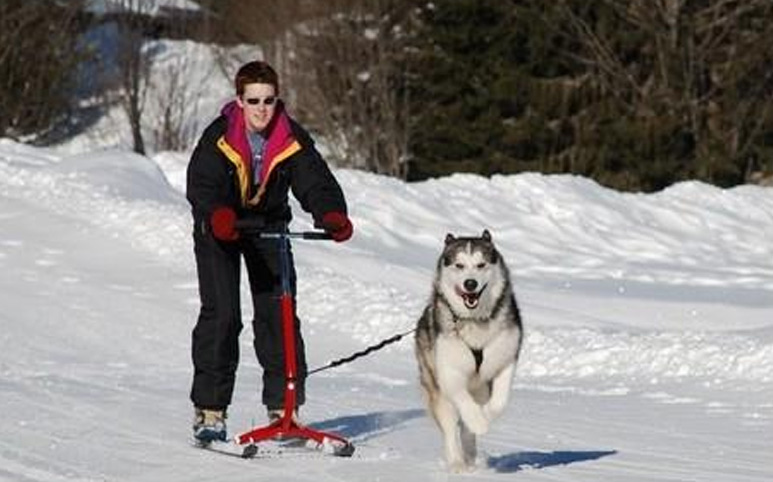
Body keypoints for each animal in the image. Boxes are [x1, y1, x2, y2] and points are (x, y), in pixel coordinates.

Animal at [414, 230, 520, 470]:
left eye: (481, 265)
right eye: (459, 265)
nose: (470, 283)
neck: (474, 321)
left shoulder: (506, 359)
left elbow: (499, 402)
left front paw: (486, 416)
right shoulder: (449, 372)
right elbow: (462, 400)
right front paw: (478, 421)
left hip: (480, 388)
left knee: (465, 429)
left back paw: (470, 454)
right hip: (435, 385)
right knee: (450, 426)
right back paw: (457, 463)